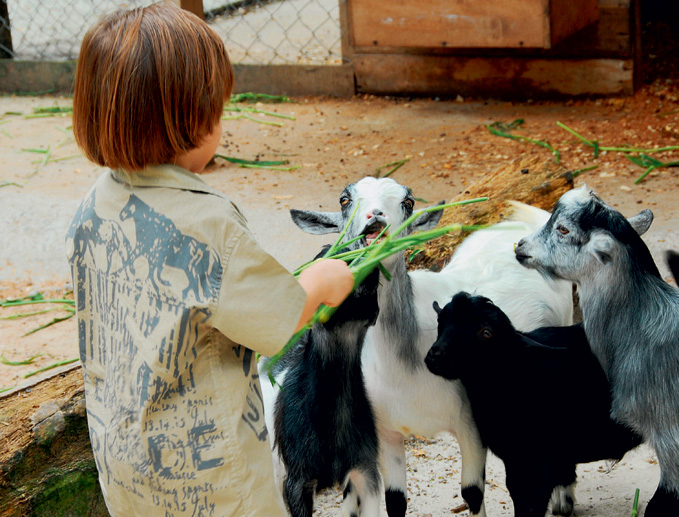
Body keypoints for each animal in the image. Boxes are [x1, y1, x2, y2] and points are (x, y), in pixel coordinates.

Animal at [290, 177, 576, 516]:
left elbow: (472, 493)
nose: (375, 216)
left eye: (408, 202)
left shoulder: (470, 425)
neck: (404, 364)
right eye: (345, 199)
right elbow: (395, 501)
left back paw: (564, 500)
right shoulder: (385, 432)